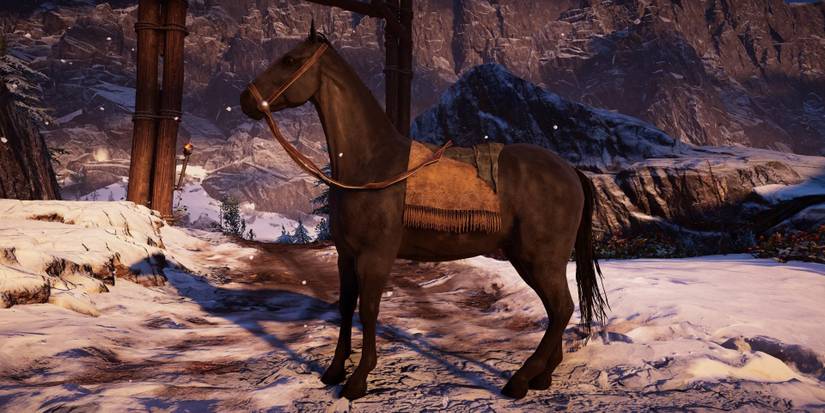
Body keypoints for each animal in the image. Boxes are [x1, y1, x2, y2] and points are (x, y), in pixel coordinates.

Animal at [239, 28, 607, 401]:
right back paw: (541, 376)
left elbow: (368, 309)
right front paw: (333, 371)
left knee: (561, 308)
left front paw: (358, 380)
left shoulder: (375, 256)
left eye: (290, 59)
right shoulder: (346, 255)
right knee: (556, 309)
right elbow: (345, 306)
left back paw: (519, 380)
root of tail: (570, 171)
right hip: (535, 260)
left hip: (539, 259)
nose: (245, 100)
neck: (370, 164)